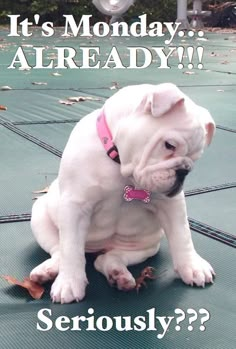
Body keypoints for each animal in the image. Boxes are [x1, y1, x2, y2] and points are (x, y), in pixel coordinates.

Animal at [30, 82, 216, 302]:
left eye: (195, 159)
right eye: (169, 145)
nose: (183, 171)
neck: (120, 165)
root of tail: (97, 249)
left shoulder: (171, 206)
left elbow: (182, 235)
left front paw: (192, 266)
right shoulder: (76, 206)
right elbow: (71, 249)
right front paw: (69, 282)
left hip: (146, 245)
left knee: (108, 258)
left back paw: (118, 274)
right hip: (39, 217)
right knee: (59, 250)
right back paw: (47, 271)